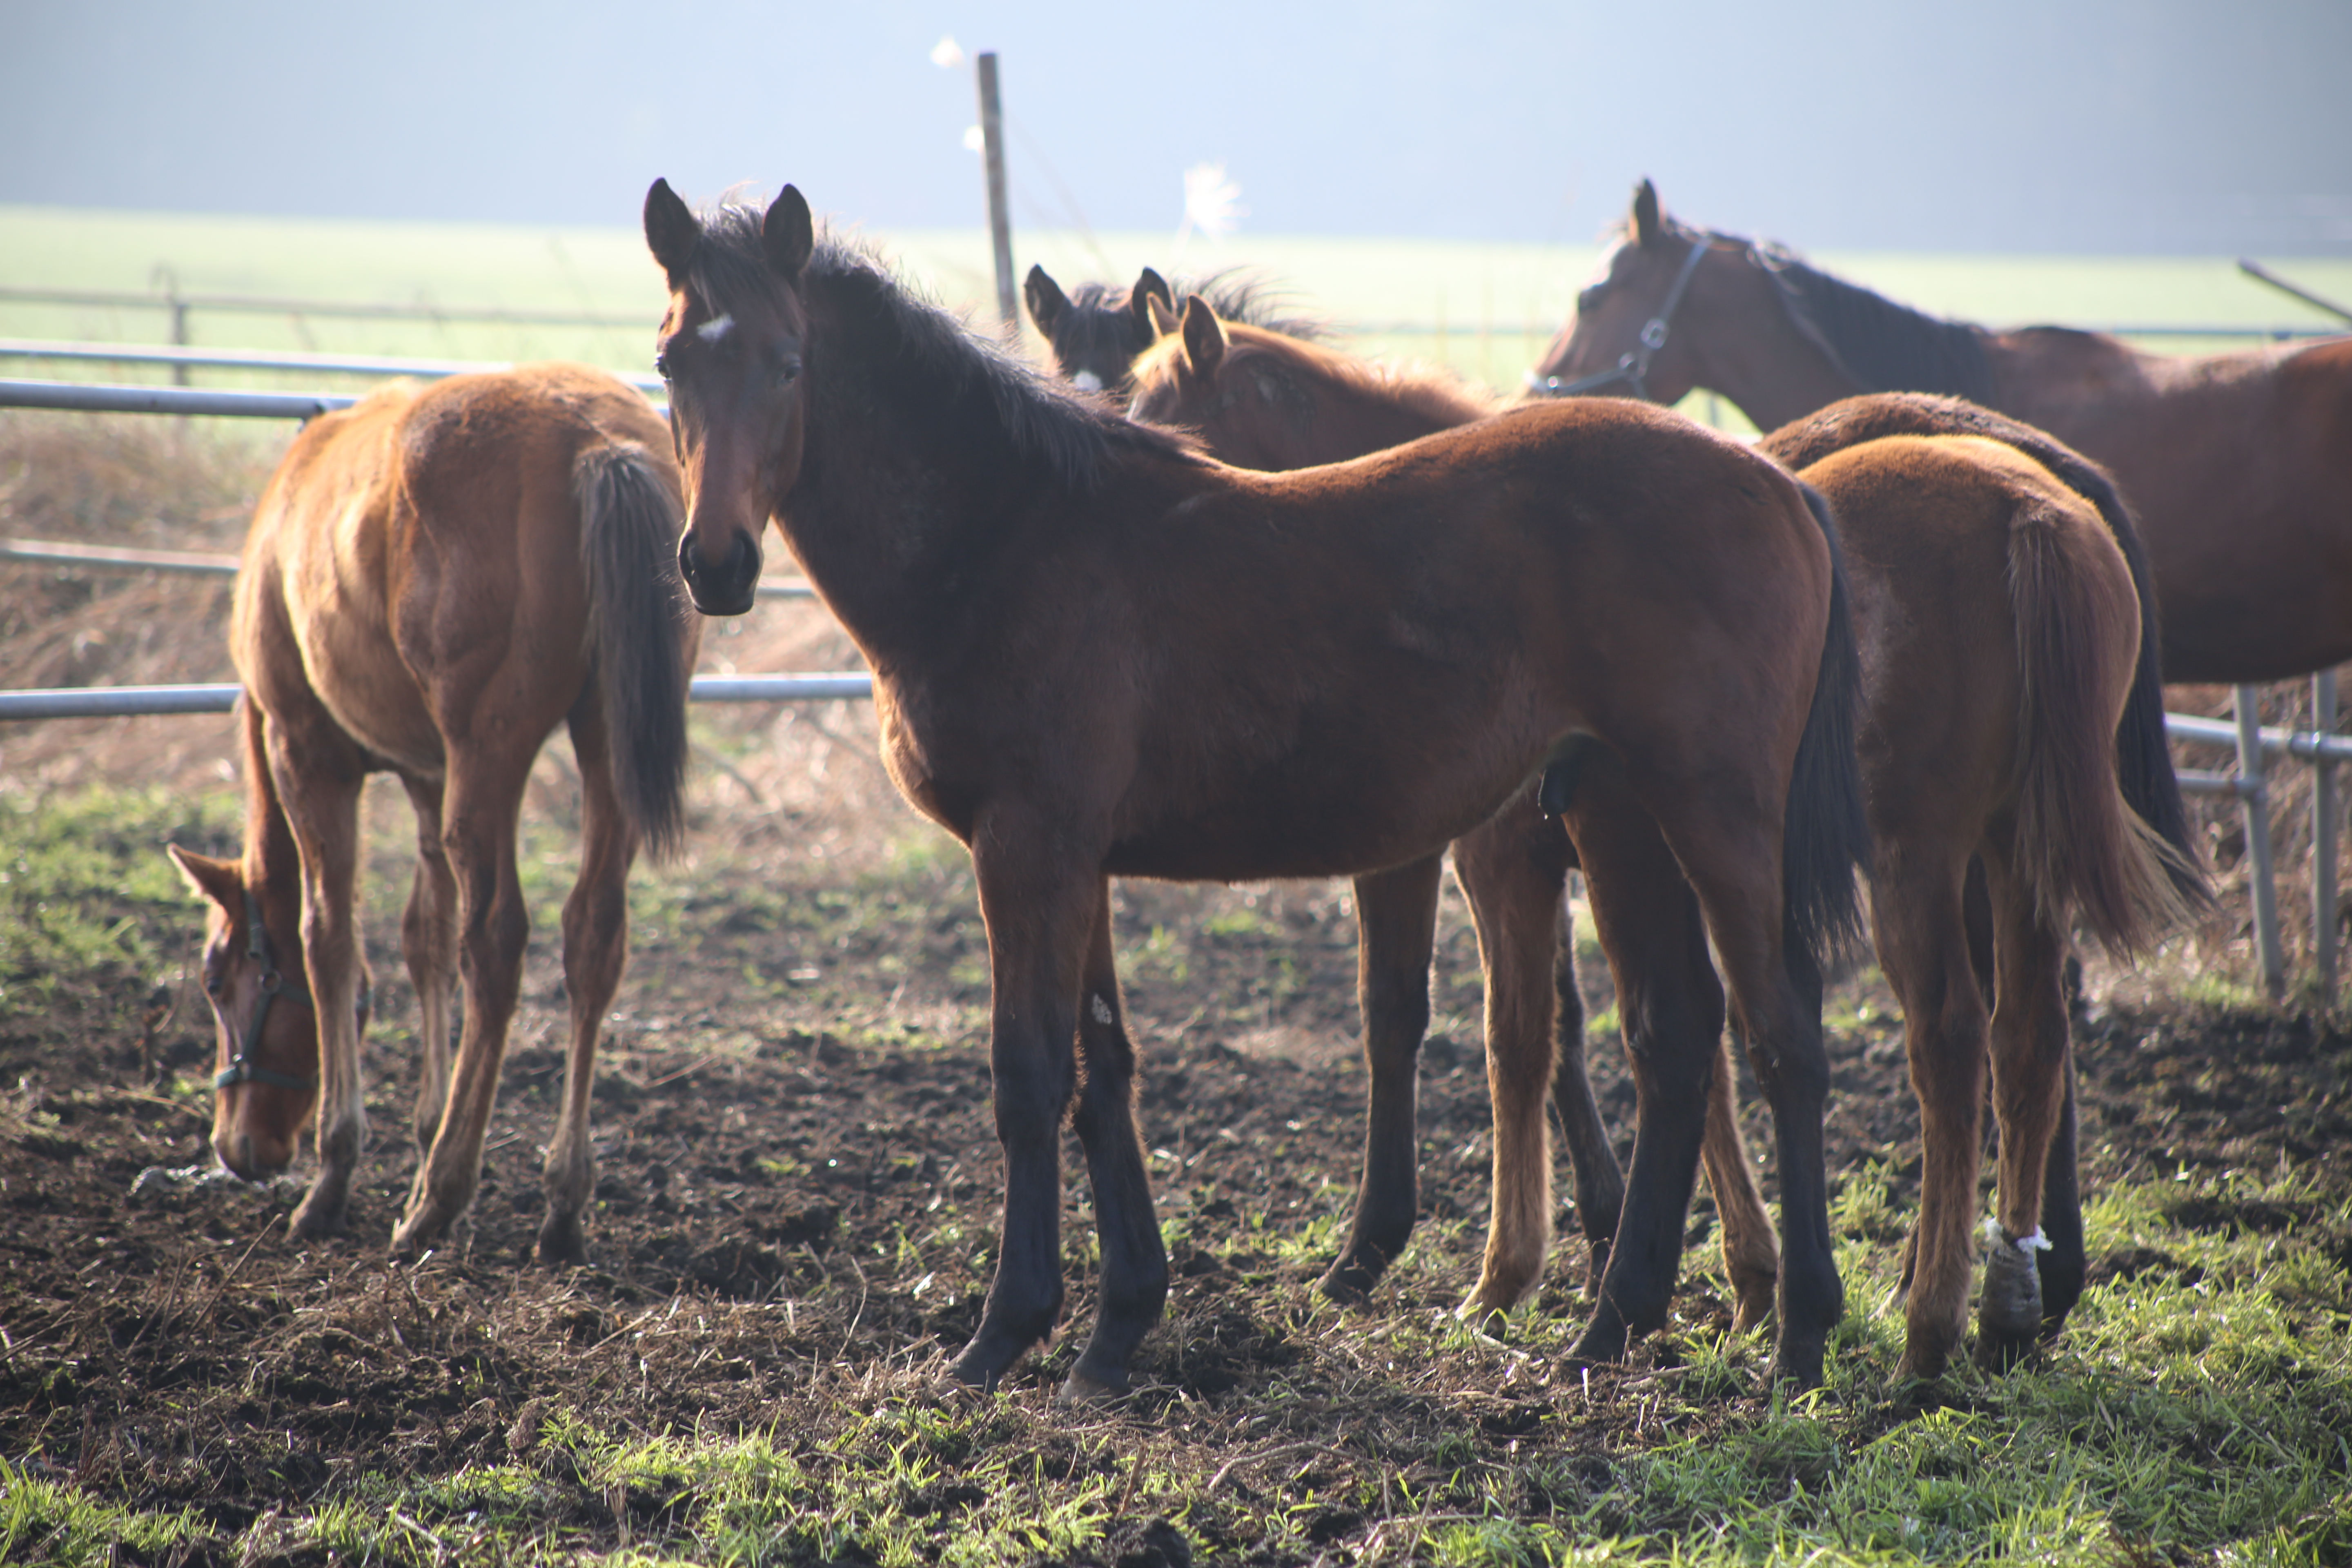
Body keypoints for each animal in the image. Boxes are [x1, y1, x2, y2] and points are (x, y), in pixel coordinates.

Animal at [166, 364, 696, 1260]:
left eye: (214, 978)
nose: (238, 1148)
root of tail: (596, 441)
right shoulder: (426, 776)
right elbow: (425, 938)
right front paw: (424, 1122)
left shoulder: (307, 753)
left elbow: (329, 939)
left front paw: (337, 1170)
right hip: (604, 744)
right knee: (592, 936)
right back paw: (560, 1201)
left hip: (489, 760)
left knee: (497, 943)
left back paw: (439, 1196)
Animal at [649, 184, 1872, 1401]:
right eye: (669, 361)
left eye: (788, 362)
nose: (716, 563)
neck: (1006, 538)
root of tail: (1779, 481)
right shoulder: (1076, 860)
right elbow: (1104, 1070)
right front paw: (1117, 1324)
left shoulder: (1026, 847)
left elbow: (1029, 1075)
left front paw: (1004, 1330)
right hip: (1619, 818)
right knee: (1676, 1036)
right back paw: (1613, 1321)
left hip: (1715, 819)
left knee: (1779, 1035)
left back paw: (1799, 1335)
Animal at [1138, 303, 2201, 1373]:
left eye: (1168, 419)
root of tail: (2031, 506)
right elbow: (1650, 1035)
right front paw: (1717, 1270)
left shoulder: (1498, 858)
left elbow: (1490, 1030)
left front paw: (1476, 1268)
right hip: (2009, 851)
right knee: (2029, 1033)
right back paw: (2012, 1293)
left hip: (1915, 857)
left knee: (1947, 1038)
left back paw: (1930, 1320)